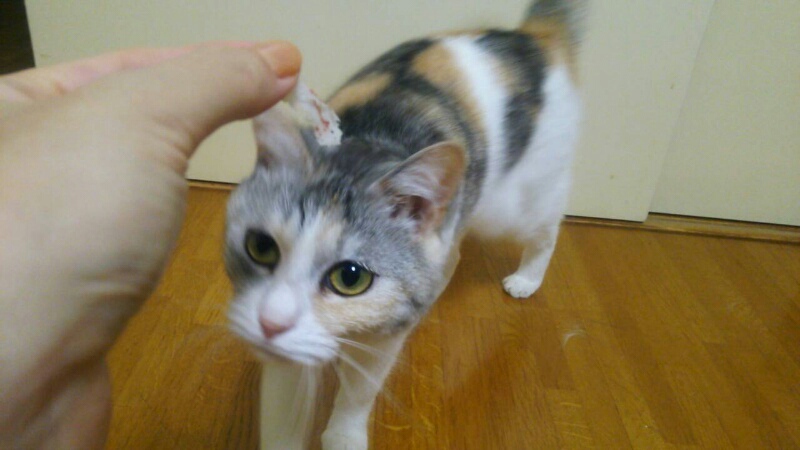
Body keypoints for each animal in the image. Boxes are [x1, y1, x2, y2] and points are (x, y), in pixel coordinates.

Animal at [225, 0, 587, 448]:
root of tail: (530, 36)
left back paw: (527, 278)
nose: (271, 323)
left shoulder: (384, 338)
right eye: (260, 247)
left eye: (351, 277)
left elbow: (359, 392)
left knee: (546, 227)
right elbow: (282, 407)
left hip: (512, 203)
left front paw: (343, 435)